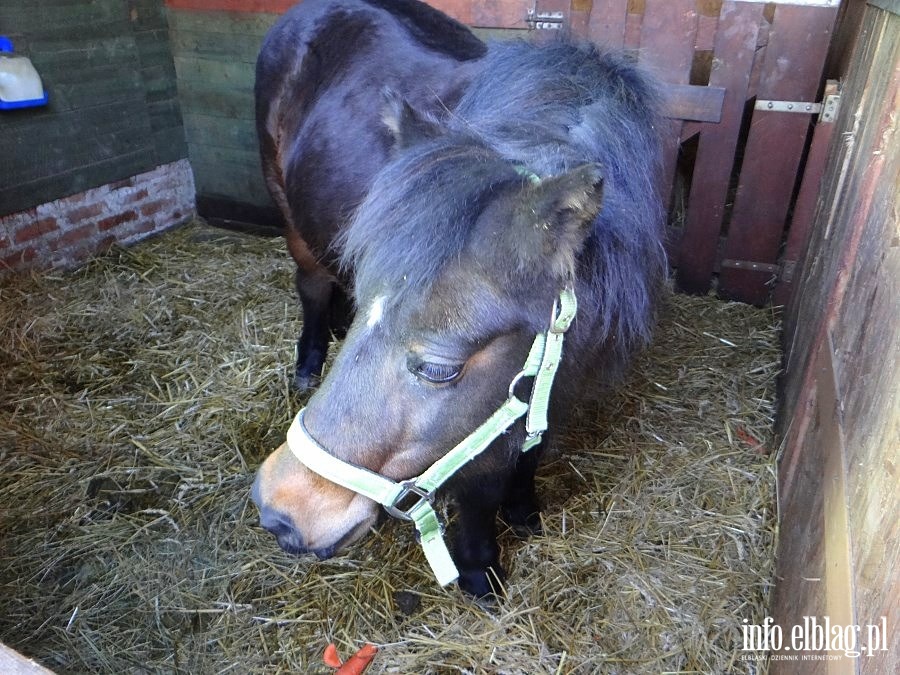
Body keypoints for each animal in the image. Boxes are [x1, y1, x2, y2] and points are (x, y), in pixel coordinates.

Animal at [250, 0, 664, 596]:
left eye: (438, 369)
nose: (280, 509)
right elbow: (480, 482)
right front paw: (479, 567)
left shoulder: (551, 381)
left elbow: (530, 448)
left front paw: (524, 510)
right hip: (289, 219)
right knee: (311, 286)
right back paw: (307, 364)